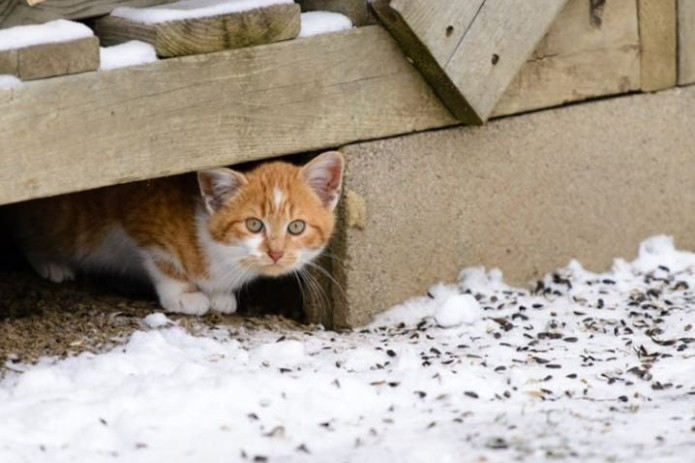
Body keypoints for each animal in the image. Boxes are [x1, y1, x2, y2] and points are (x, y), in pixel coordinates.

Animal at [9, 152, 346, 316]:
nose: (275, 253)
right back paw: (51, 263)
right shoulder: (139, 214)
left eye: (296, 226)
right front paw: (184, 295)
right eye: (254, 225)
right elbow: (162, 260)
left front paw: (220, 295)